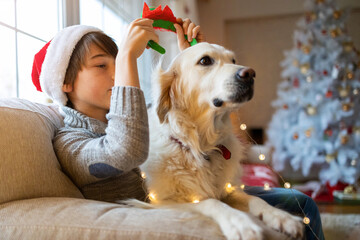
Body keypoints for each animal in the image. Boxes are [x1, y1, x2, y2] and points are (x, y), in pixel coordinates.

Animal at [139, 43, 304, 240]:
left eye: (233, 60)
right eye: (205, 60)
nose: (250, 73)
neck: (201, 147)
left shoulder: (229, 189)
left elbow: (255, 199)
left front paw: (281, 217)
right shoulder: (162, 200)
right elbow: (211, 202)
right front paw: (240, 223)